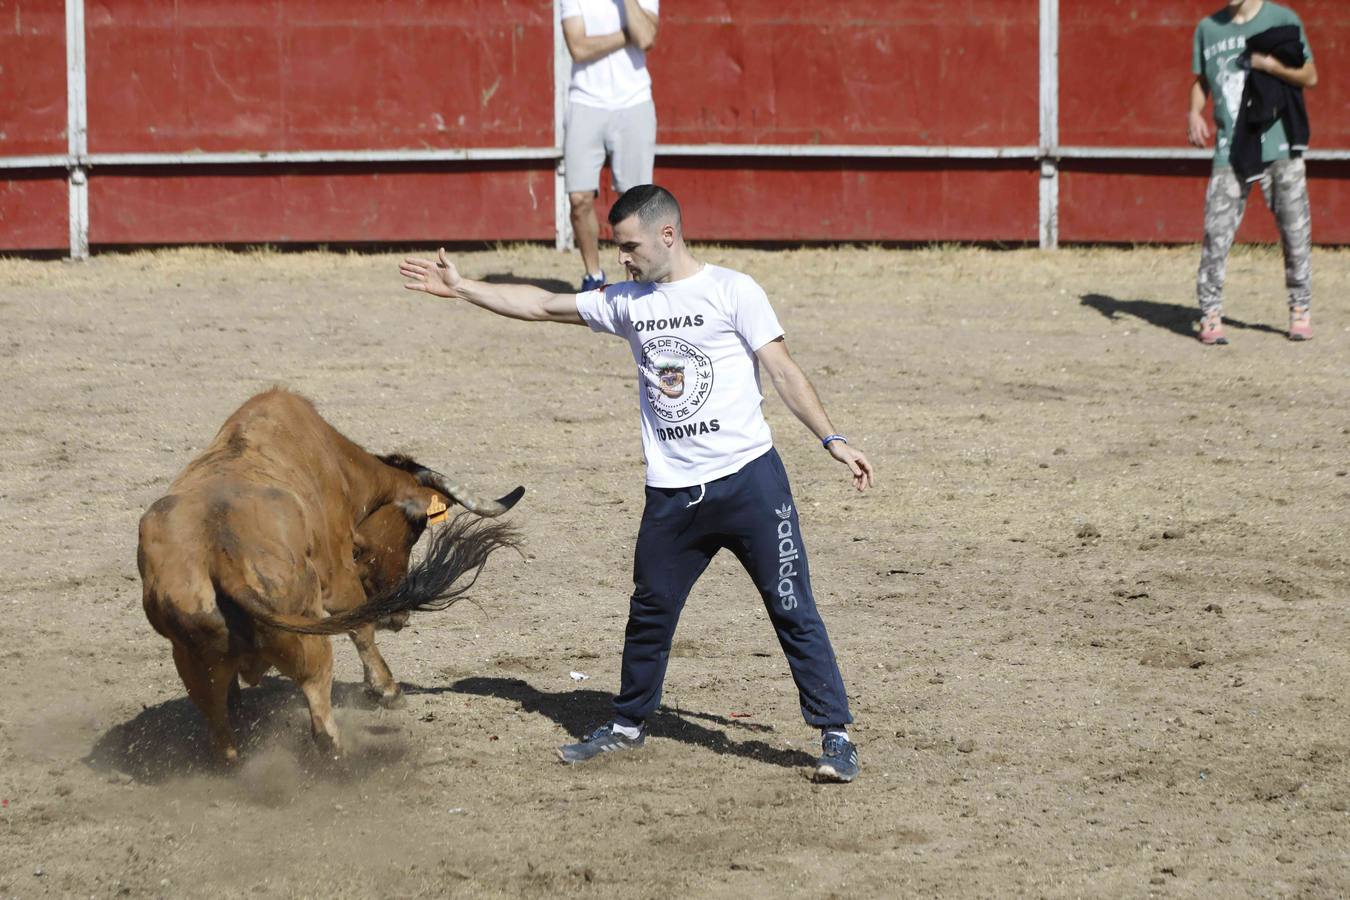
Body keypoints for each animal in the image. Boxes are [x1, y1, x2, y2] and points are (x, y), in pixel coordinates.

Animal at [137, 391, 523, 766]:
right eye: (415, 528)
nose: (398, 616)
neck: (341, 467)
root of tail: (224, 560)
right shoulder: (338, 574)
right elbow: (361, 629)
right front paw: (387, 689)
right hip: (307, 638)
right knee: (317, 691)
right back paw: (337, 752)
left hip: (193, 662)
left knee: (222, 736)